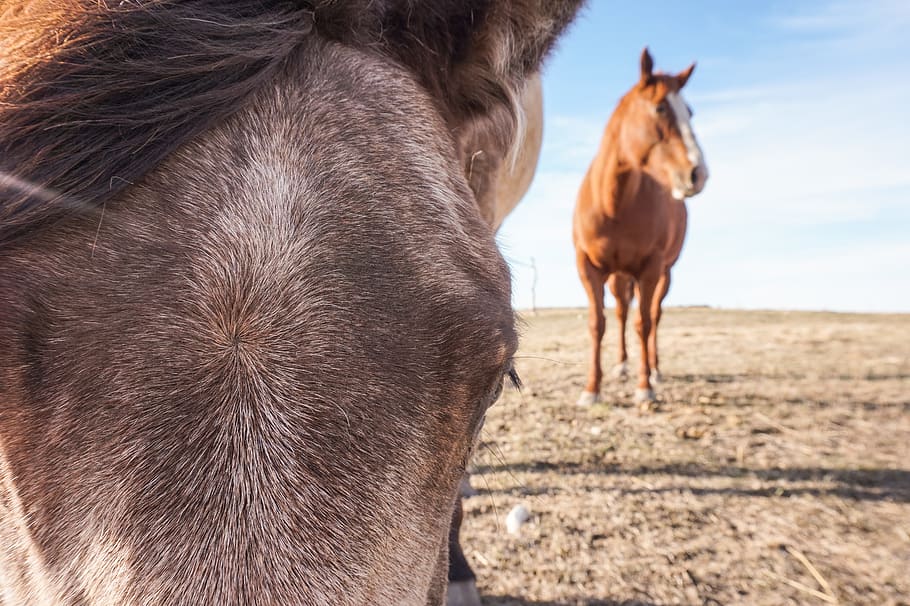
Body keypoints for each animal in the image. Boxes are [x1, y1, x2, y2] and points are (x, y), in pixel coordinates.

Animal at [572, 48, 708, 408]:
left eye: (690, 111)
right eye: (660, 108)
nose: (698, 173)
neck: (613, 203)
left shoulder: (650, 268)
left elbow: (644, 323)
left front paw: (645, 386)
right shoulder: (588, 267)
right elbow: (598, 323)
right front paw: (592, 389)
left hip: (663, 273)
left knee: (653, 317)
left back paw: (655, 370)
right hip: (619, 276)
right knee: (620, 312)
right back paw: (620, 365)